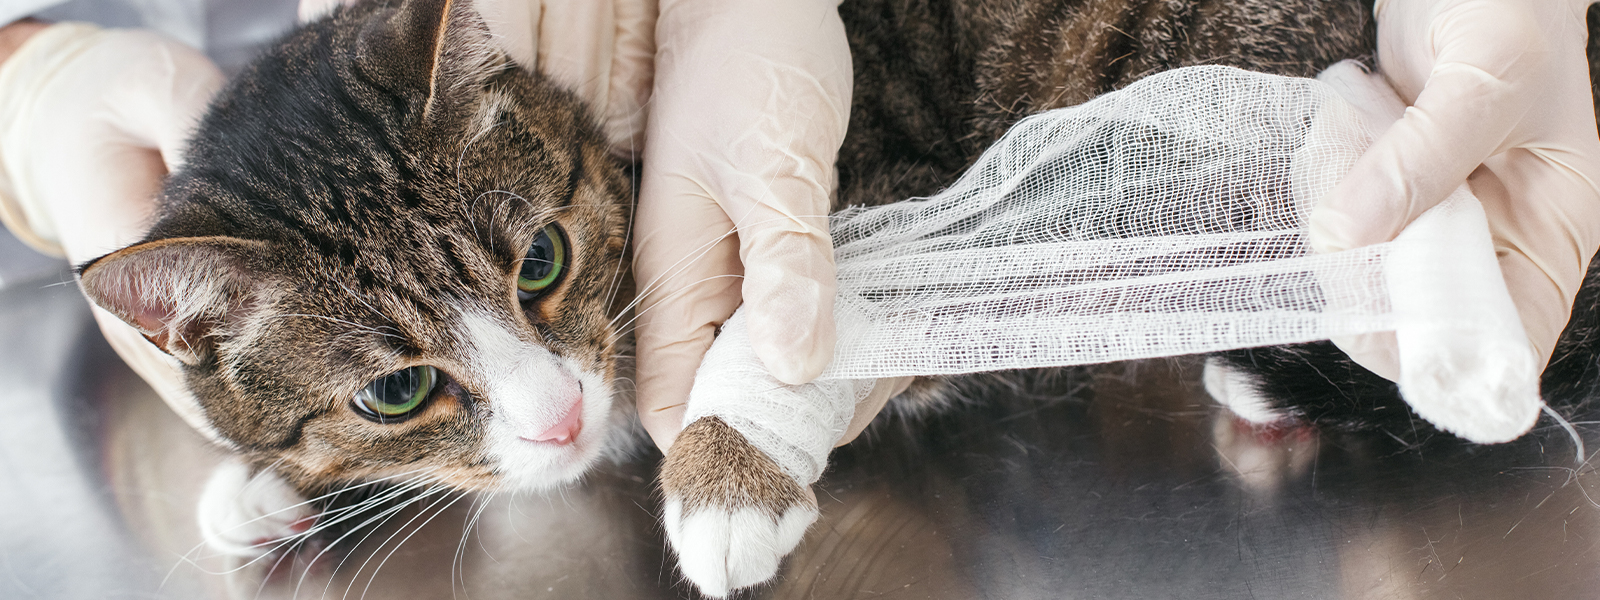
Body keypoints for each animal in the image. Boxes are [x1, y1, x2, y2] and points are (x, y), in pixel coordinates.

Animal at [75, 0, 1600, 598]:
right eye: (395, 389)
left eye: (539, 263)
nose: (555, 415)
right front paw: (262, 491)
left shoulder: (877, 182)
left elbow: (784, 320)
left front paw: (723, 472)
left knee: (1355, 131)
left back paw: (1453, 347)